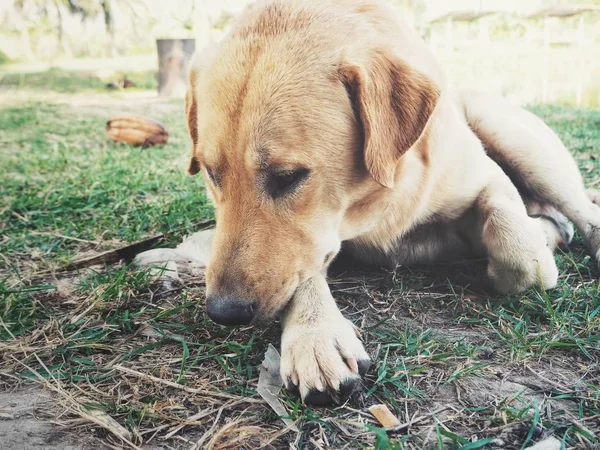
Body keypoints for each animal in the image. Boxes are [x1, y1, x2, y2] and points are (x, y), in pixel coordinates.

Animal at [136, 0, 600, 404]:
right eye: (211, 174)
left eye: (289, 177)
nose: (223, 312)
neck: (374, 206)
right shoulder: (313, 243)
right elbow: (305, 271)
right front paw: (316, 335)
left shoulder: (487, 179)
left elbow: (518, 249)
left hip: (517, 139)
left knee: (578, 213)